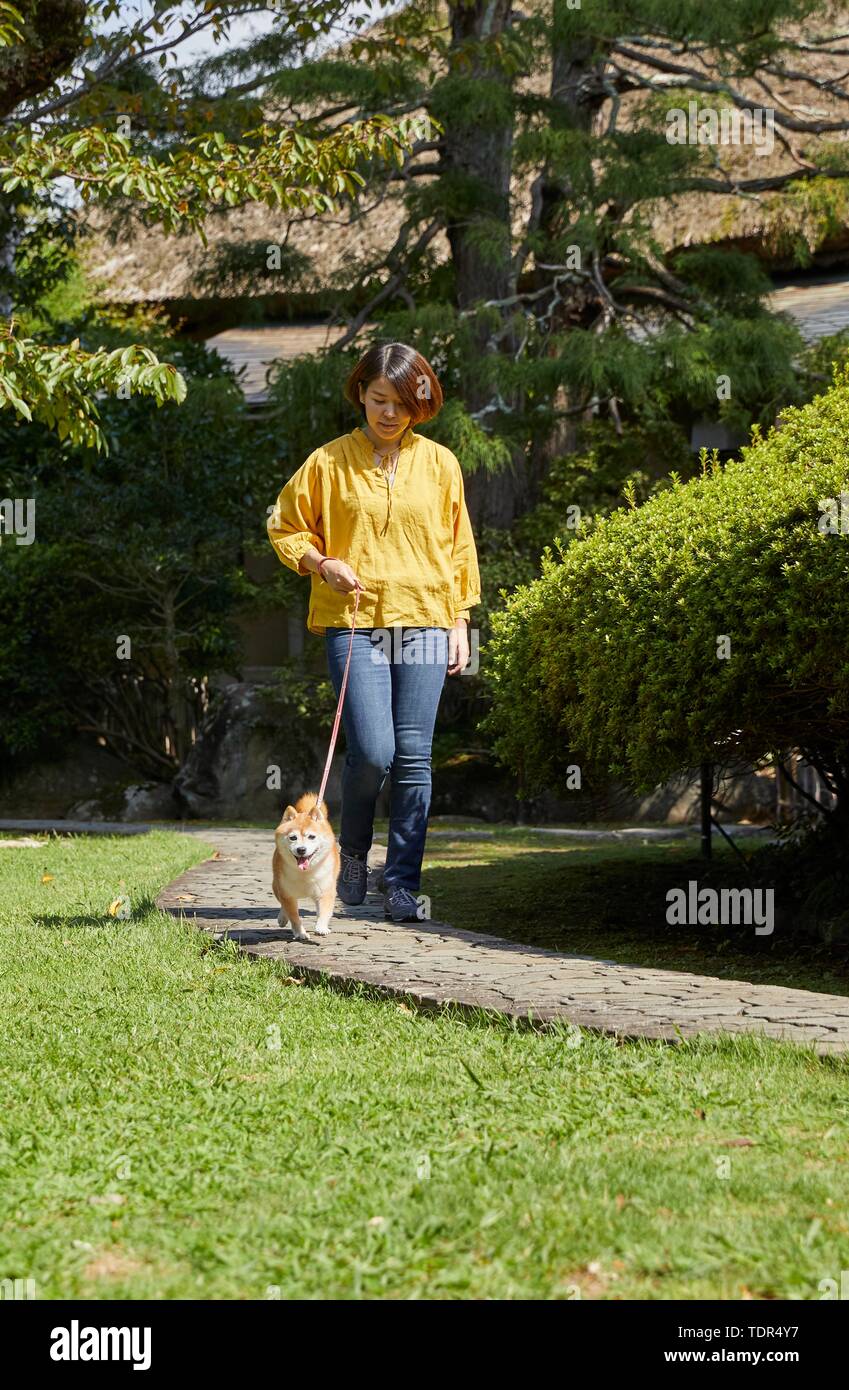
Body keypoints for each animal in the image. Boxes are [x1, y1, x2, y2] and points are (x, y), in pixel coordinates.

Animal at [270, 795, 340, 945]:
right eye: (293, 837)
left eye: (311, 836)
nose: (301, 849)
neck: (305, 873)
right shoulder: (287, 894)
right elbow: (294, 917)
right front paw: (300, 933)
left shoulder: (326, 891)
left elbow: (324, 911)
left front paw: (321, 927)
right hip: (277, 886)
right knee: (282, 905)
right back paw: (282, 918)